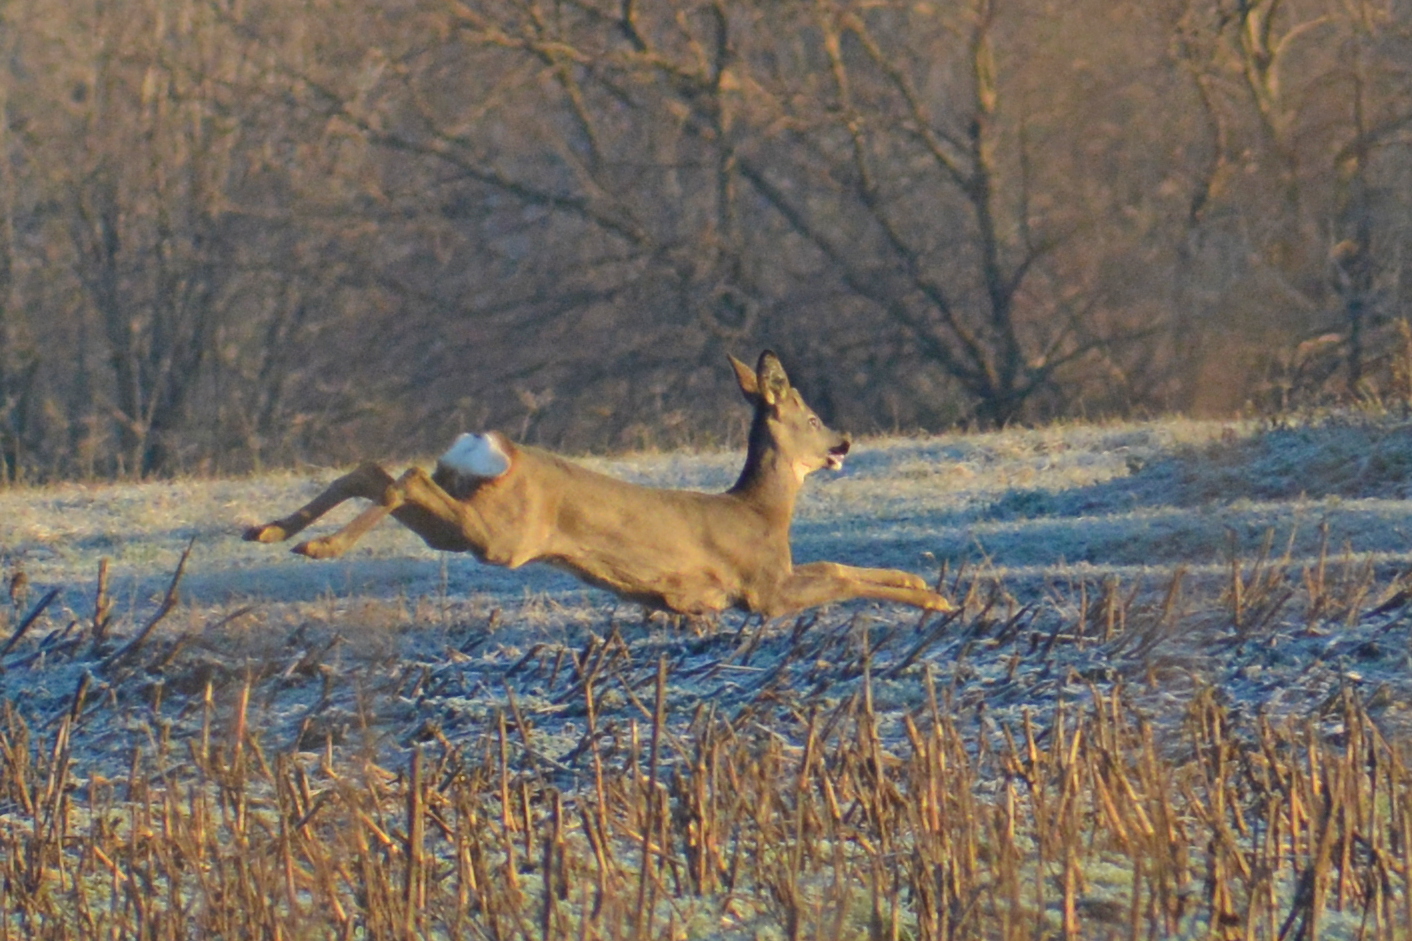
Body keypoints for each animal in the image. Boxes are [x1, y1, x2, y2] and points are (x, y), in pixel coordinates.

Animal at [243, 351, 952, 618]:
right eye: (810, 417)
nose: (843, 443)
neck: (761, 513)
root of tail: (491, 449)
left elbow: (836, 563)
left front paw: (922, 583)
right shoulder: (762, 588)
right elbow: (839, 578)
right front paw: (936, 601)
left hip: (459, 525)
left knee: (376, 470)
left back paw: (271, 530)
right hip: (502, 534)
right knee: (406, 475)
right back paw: (315, 546)